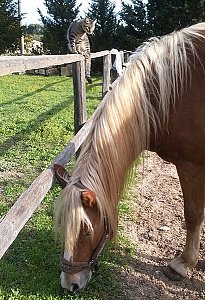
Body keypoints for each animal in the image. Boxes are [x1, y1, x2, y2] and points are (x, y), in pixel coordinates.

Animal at [53, 22, 205, 290]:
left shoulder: (191, 165)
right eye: (62, 227)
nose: (69, 284)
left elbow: (193, 214)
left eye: (86, 231)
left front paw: (183, 264)